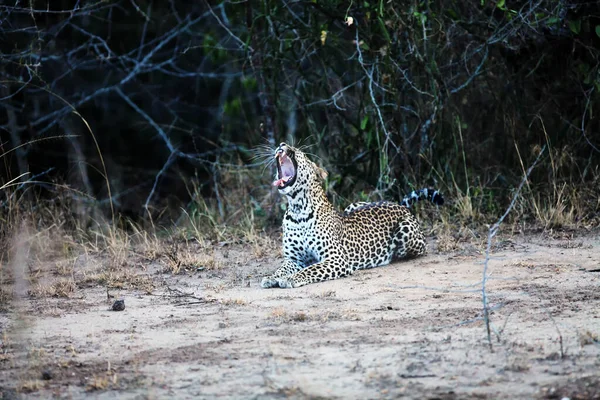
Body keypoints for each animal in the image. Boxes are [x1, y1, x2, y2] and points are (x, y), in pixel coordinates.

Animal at [260, 142, 442, 290]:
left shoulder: (336, 259)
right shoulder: (294, 259)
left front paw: (290, 278)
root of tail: (399, 205)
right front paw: (271, 277)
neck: (297, 209)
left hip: (406, 232)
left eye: (301, 153)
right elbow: (281, 269)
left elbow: (310, 269)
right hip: (354, 204)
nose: (282, 144)